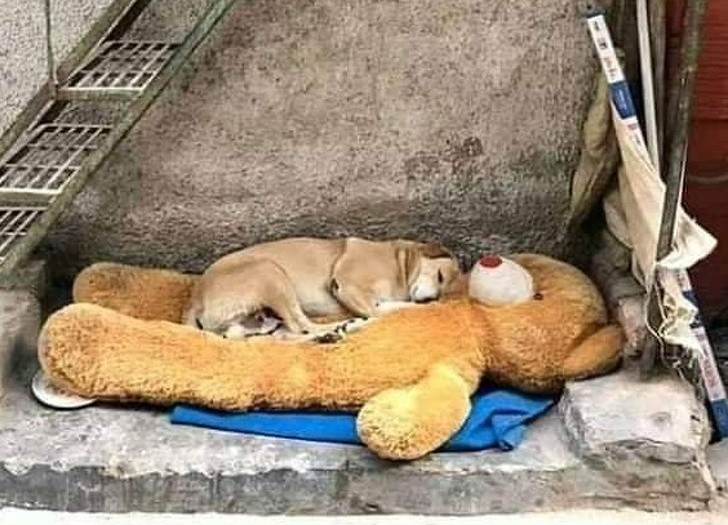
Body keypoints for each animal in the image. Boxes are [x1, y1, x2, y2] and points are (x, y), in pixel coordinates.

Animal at [188, 236, 460, 340]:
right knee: (301, 325)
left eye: (443, 289)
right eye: (440, 276)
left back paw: (332, 334)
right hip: (270, 273)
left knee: (288, 334)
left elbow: (393, 307)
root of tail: (196, 298)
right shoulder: (347, 285)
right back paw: (344, 328)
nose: (431, 300)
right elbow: (378, 312)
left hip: (263, 319)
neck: (399, 262)